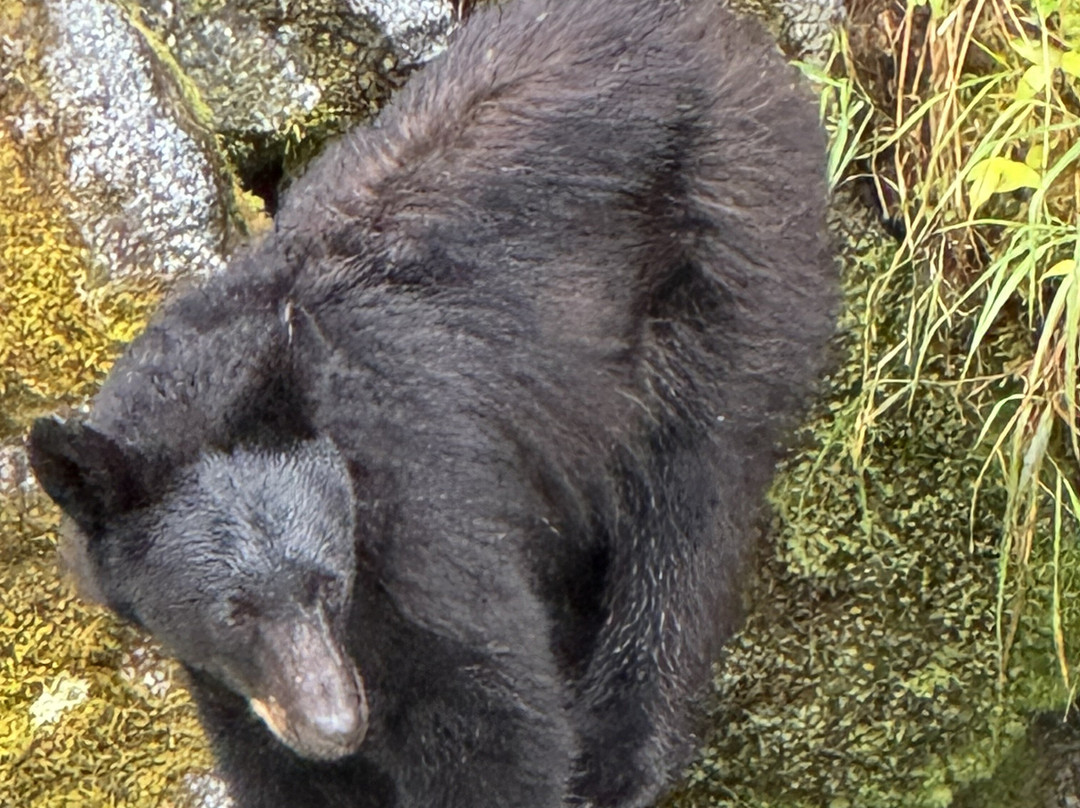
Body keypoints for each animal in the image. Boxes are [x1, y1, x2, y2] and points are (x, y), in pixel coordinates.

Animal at [27, 0, 836, 806]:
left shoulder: (422, 517)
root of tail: (720, 29)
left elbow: (495, 720)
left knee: (686, 510)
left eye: (326, 586)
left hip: (725, 257)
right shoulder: (231, 681)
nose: (336, 727)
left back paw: (620, 755)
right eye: (234, 612)